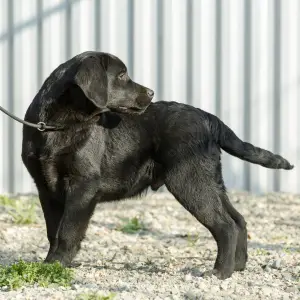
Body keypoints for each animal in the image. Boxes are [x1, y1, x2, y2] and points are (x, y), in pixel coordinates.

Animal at [22, 51, 294, 278]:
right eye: (122, 75)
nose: (151, 92)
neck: (58, 126)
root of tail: (208, 117)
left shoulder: (83, 185)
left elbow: (68, 229)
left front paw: (56, 264)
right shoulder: (46, 188)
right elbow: (53, 230)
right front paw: (54, 262)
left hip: (189, 181)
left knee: (225, 225)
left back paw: (220, 272)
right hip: (210, 181)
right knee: (238, 220)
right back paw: (238, 266)